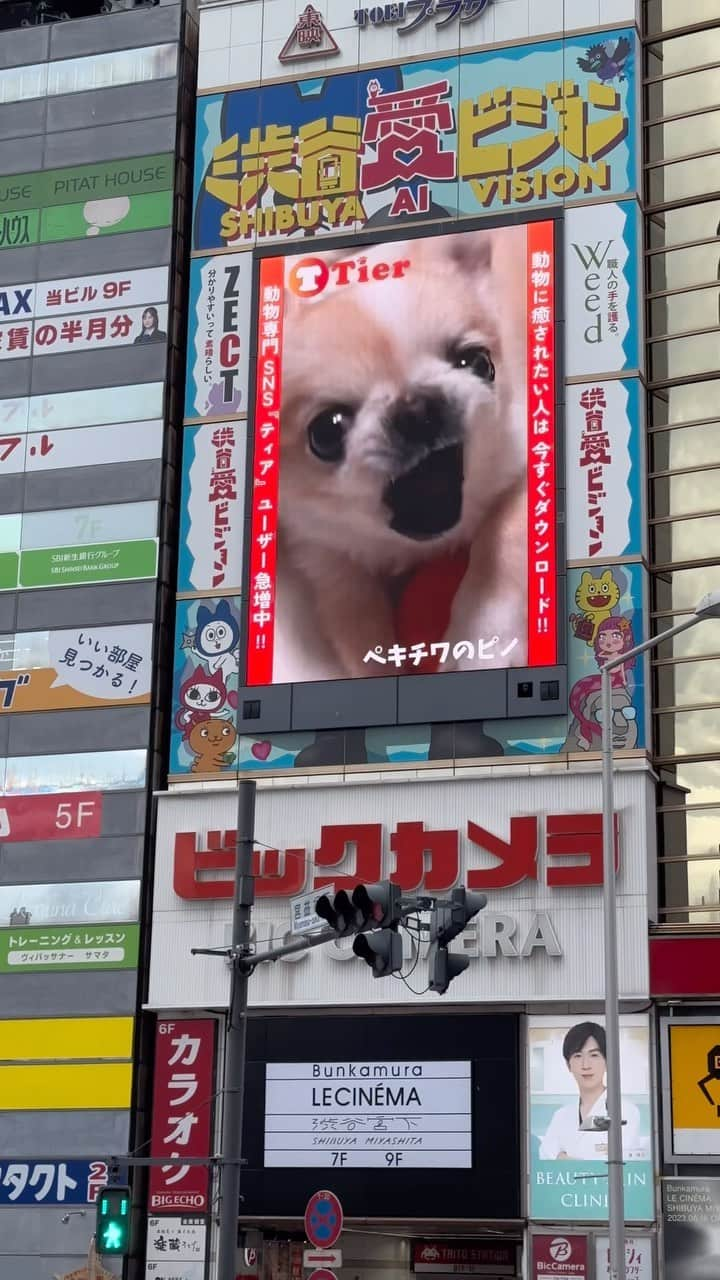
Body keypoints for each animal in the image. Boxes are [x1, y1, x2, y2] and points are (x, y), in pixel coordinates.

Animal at [274, 229, 527, 680]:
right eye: (326, 432)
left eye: (478, 363)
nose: (418, 408)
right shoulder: (326, 555)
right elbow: (356, 629)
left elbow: (499, 547)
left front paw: (483, 643)